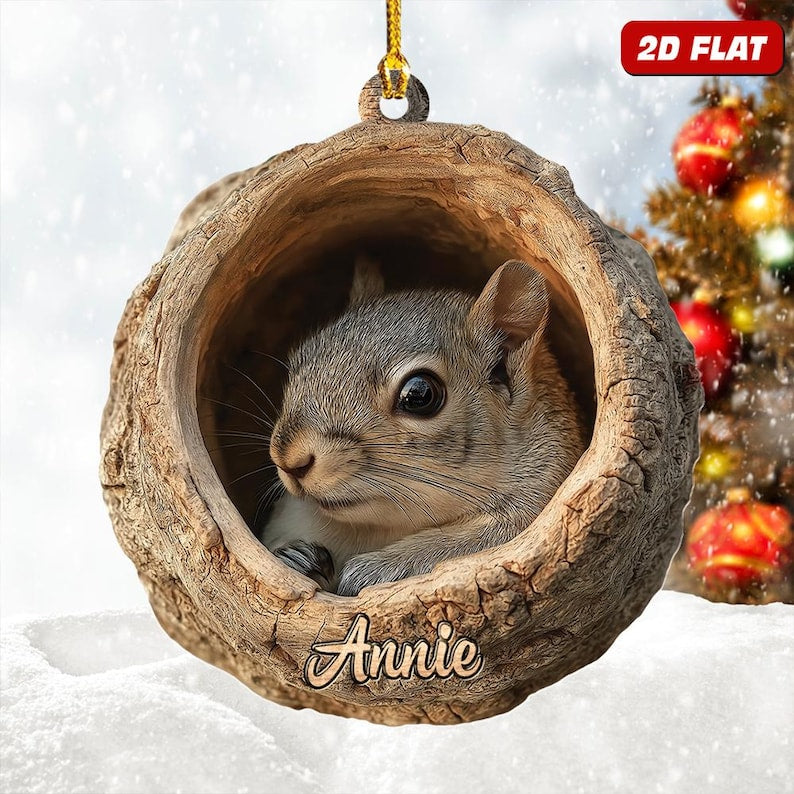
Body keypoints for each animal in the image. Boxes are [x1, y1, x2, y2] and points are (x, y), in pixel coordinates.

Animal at [260, 256, 586, 596]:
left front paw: (375, 569)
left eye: (419, 394)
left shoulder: (536, 505)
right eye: (301, 356)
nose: (288, 460)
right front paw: (297, 557)